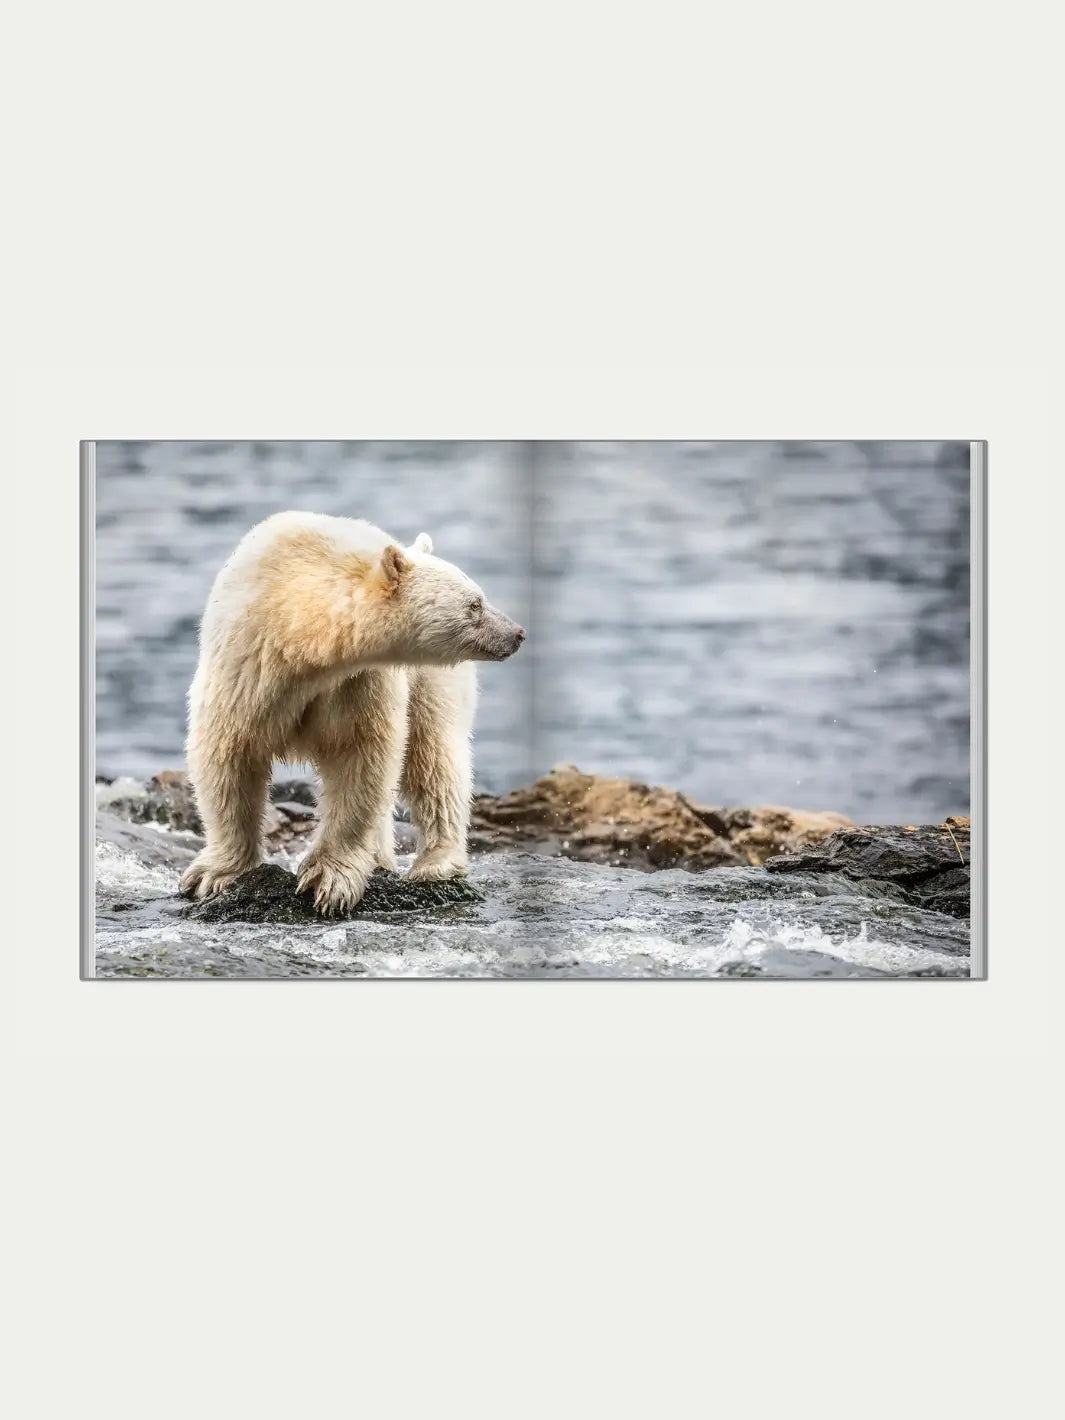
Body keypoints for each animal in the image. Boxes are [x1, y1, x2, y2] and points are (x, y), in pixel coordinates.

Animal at [178, 511, 525, 914]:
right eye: (475, 605)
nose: (517, 633)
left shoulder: (355, 682)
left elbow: (358, 757)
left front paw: (328, 880)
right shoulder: (247, 665)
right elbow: (229, 754)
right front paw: (214, 875)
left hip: (431, 681)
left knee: (434, 758)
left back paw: (435, 864)